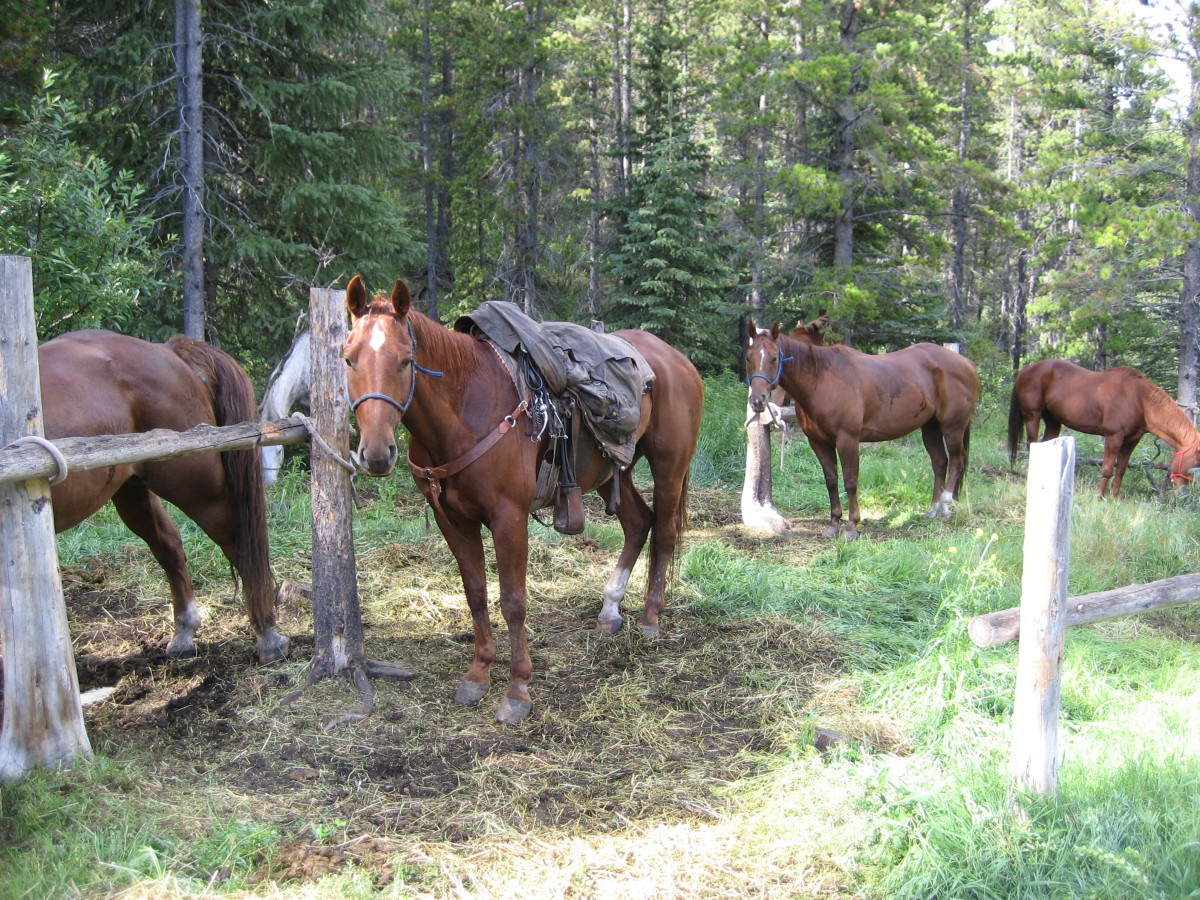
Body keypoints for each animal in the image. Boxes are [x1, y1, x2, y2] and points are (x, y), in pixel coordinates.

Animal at [39, 330, 289, 663]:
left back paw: (268, 636)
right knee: (169, 545)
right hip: (131, 488)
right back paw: (184, 634)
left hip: (196, 486)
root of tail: (168, 350)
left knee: (239, 544)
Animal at [341, 276, 704, 724]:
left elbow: (513, 601)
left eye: (406, 360)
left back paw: (651, 617)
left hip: (669, 466)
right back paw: (609, 611)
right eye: (348, 359)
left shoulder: (508, 517)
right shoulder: (451, 520)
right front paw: (479, 673)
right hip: (609, 470)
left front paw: (517, 690)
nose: (376, 454)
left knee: (665, 532)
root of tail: (677, 359)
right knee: (639, 523)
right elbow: (475, 592)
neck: (466, 406)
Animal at [745, 322, 980, 540]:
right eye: (748, 358)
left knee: (957, 461)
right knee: (940, 463)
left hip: (953, 426)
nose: (758, 400)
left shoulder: (847, 440)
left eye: (774, 358)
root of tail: (966, 364)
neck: (823, 380)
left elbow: (850, 482)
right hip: (930, 427)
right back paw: (933, 510)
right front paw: (833, 524)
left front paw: (851, 527)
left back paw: (945, 506)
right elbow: (831, 481)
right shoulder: (818, 442)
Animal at [1007, 358, 1200, 498]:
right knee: (1032, 445)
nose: (1184, 495)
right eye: (1195, 464)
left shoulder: (1131, 441)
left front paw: (1115, 498)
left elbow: (1121, 469)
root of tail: (1027, 368)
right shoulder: (1114, 436)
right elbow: (1107, 468)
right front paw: (1099, 496)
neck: (1139, 400)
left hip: (1054, 422)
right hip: (1032, 416)